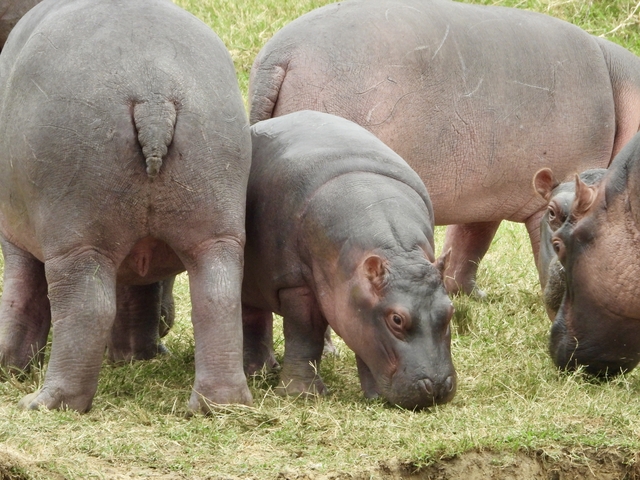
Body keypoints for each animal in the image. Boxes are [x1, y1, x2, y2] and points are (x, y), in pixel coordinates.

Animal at [0, 0, 252, 412]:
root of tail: (153, 96)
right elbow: (138, 294)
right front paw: (136, 357)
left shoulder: (16, 235)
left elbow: (23, 298)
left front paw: (7, 365)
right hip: (215, 231)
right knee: (217, 298)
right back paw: (218, 405)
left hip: (79, 240)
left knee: (85, 308)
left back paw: (43, 403)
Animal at [242, 110, 456, 408]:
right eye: (397, 319)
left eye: (450, 310)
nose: (436, 386)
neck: (398, 252)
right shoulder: (295, 285)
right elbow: (304, 336)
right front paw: (301, 395)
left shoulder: (356, 303)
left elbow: (364, 343)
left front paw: (374, 396)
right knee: (251, 317)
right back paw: (256, 372)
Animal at [249, 0, 640, 297]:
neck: (622, 86)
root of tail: (280, 55)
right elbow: (544, 253)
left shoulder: (487, 194)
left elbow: (469, 243)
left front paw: (470, 295)